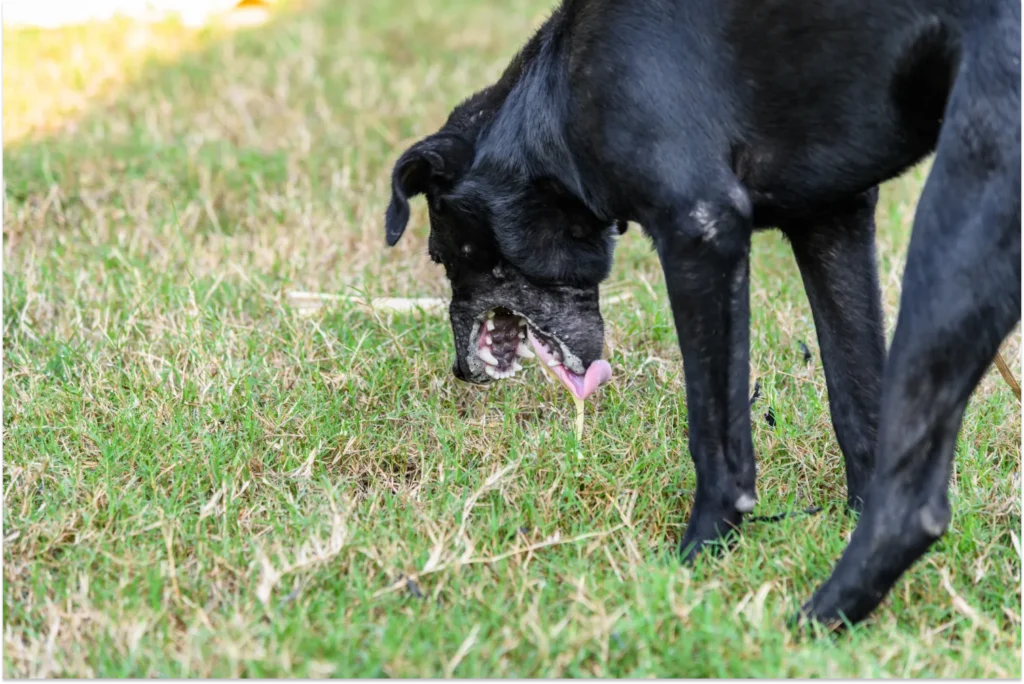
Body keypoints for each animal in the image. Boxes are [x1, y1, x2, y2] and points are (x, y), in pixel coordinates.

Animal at [385, 0, 1024, 626]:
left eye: (441, 254)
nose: (460, 371)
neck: (555, 96)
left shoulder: (701, 231)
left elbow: (716, 438)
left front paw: (696, 558)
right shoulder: (832, 220)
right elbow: (857, 404)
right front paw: (845, 516)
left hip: (956, 223)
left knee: (914, 505)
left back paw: (812, 619)